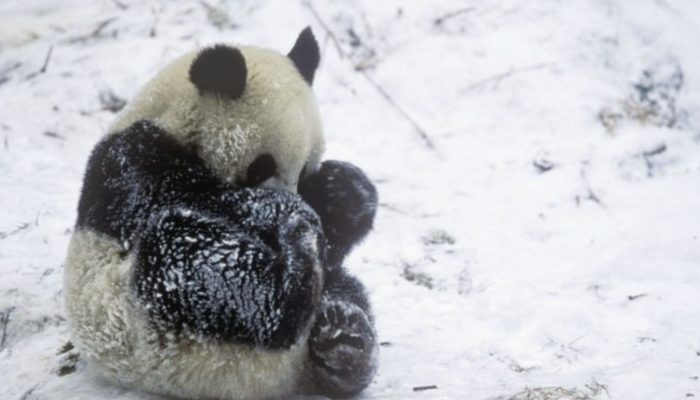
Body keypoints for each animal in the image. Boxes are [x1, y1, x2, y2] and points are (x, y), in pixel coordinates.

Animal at [64, 28, 378, 399]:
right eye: (260, 167)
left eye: (304, 171)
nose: (296, 200)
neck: (172, 119)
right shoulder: (131, 161)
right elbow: (182, 198)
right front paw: (283, 208)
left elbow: (335, 242)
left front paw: (345, 192)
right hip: (142, 317)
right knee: (196, 261)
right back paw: (295, 274)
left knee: (344, 288)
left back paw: (344, 338)